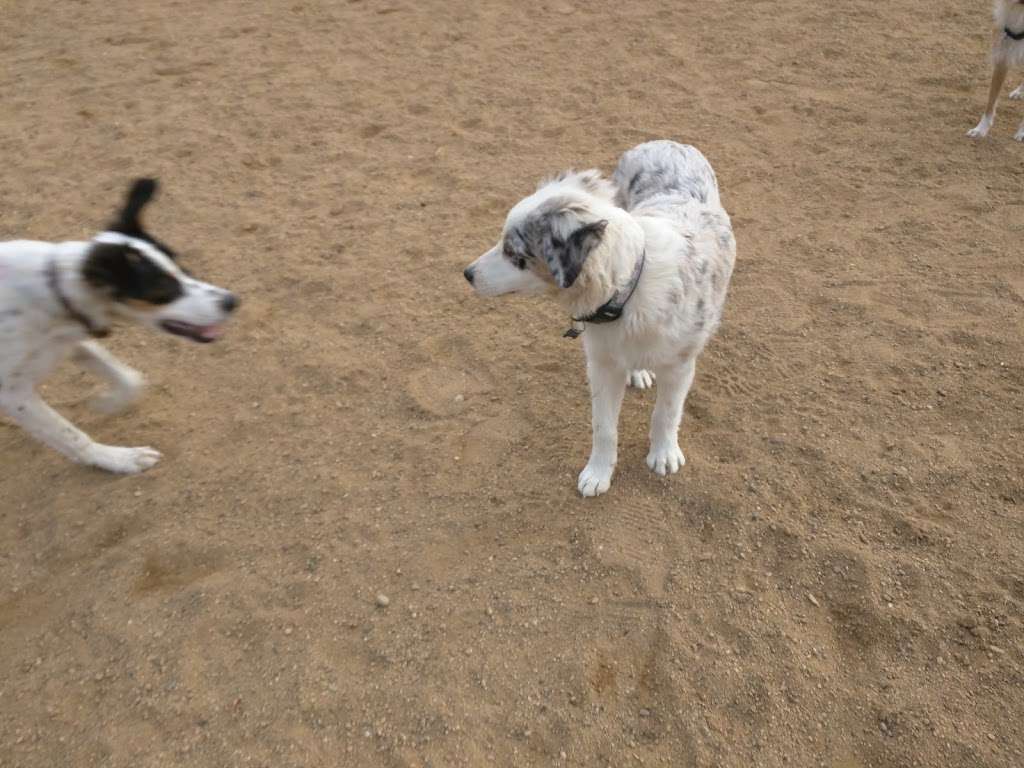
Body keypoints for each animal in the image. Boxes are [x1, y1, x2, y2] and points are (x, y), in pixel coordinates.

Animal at [0, 179, 237, 475]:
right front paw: (119, 458)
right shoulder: (13, 393)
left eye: (182, 268)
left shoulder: (73, 337)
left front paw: (106, 403)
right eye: (163, 291)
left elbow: (130, 378)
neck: (53, 293)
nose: (231, 301)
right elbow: (70, 435)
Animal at [464, 139, 737, 499]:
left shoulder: (680, 364)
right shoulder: (602, 365)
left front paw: (663, 455)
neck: (628, 289)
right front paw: (597, 474)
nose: (467, 274)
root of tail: (663, 142)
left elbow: (666, 414)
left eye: (514, 253)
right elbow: (603, 427)